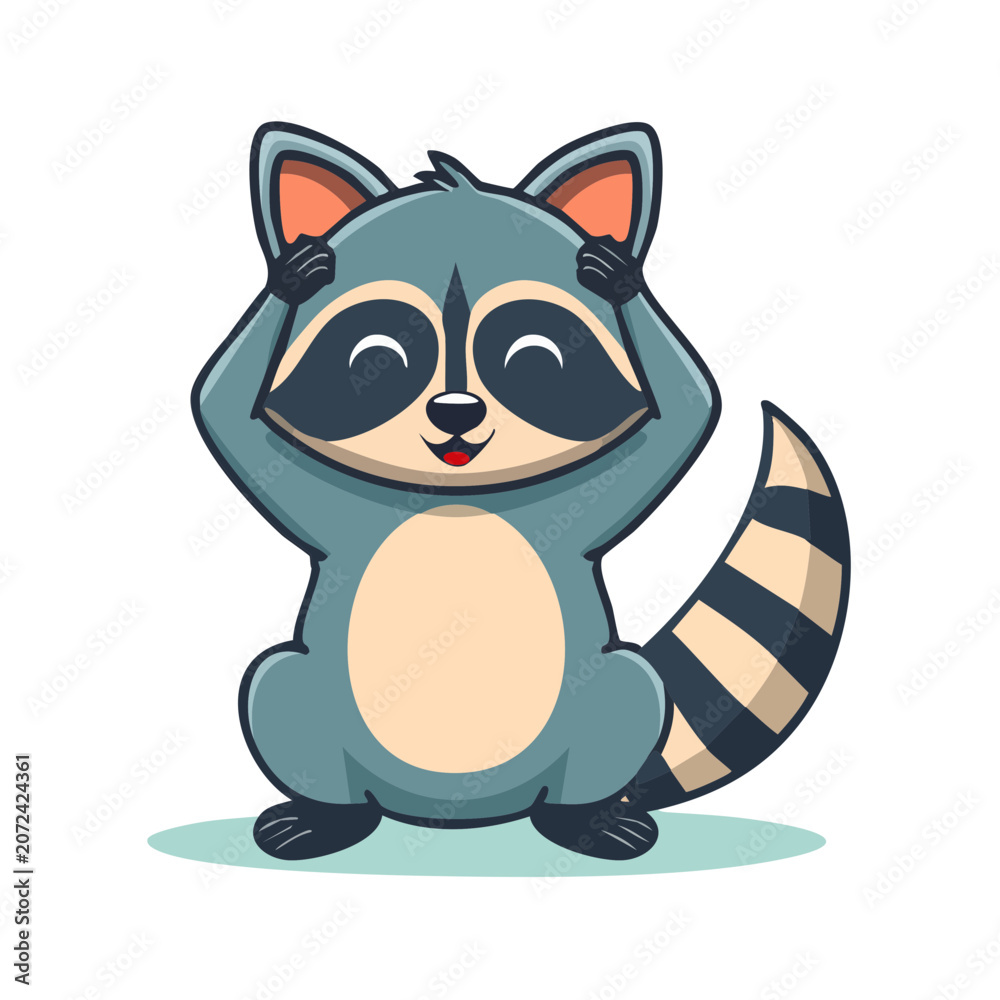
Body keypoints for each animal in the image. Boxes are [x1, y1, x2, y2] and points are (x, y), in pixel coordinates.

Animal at [192, 121, 850, 861]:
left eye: (535, 360)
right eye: (376, 359)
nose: (455, 411)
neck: (457, 497)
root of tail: (454, 813)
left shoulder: (581, 500)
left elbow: (683, 413)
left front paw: (621, 278)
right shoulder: (332, 505)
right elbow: (228, 415)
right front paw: (292, 273)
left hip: (595, 703)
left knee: (628, 695)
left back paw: (586, 817)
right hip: (318, 700)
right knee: (279, 688)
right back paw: (328, 816)